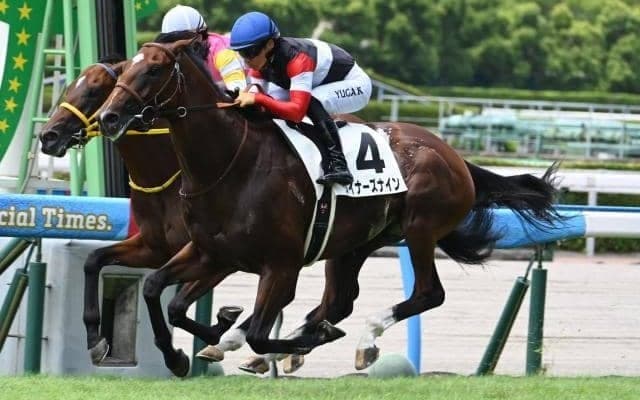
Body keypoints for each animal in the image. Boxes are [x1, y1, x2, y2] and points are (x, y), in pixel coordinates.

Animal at [38, 58, 244, 373]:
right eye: (71, 86)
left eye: (94, 91)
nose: (47, 136)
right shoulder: (154, 249)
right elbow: (94, 260)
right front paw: (96, 340)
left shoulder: (220, 258)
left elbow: (175, 305)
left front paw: (190, 350)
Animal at [97, 38, 561, 376]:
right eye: (124, 68)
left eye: (153, 69)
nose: (108, 116)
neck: (232, 162)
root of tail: (453, 155)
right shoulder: (211, 251)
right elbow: (161, 293)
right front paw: (183, 354)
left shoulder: (280, 264)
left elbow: (260, 329)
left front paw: (282, 339)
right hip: (352, 244)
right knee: (339, 301)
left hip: (420, 228)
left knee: (428, 292)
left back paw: (361, 339)